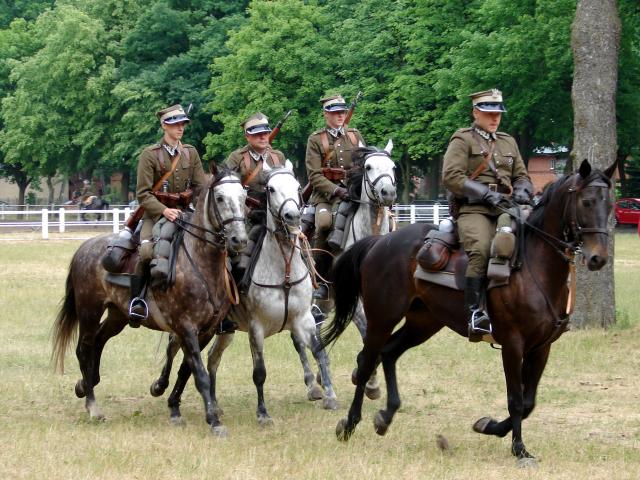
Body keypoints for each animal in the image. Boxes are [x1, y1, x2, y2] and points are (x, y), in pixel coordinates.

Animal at [50, 168, 248, 436]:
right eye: (219, 198)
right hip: (89, 311)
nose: (239, 239)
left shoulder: (206, 331)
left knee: (99, 341)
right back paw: (92, 406)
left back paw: (86, 383)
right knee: (84, 348)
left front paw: (177, 407)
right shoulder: (186, 327)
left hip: (117, 316)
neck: (201, 263)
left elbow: (187, 369)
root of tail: (85, 247)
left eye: (244, 197)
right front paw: (214, 421)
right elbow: (200, 374)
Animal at [324, 160, 616, 462]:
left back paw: (385, 416)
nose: (598, 258)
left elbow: (528, 401)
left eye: (611, 204)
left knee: (389, 352)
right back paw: (349, 424)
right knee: (366, 362)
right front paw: (518, 448)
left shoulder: (541, 347)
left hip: (423, 323)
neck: (533, 266)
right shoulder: (513, 345)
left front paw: (490, 426)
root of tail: (380, 243)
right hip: (382, 318)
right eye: (586, 201)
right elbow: (516, 400)